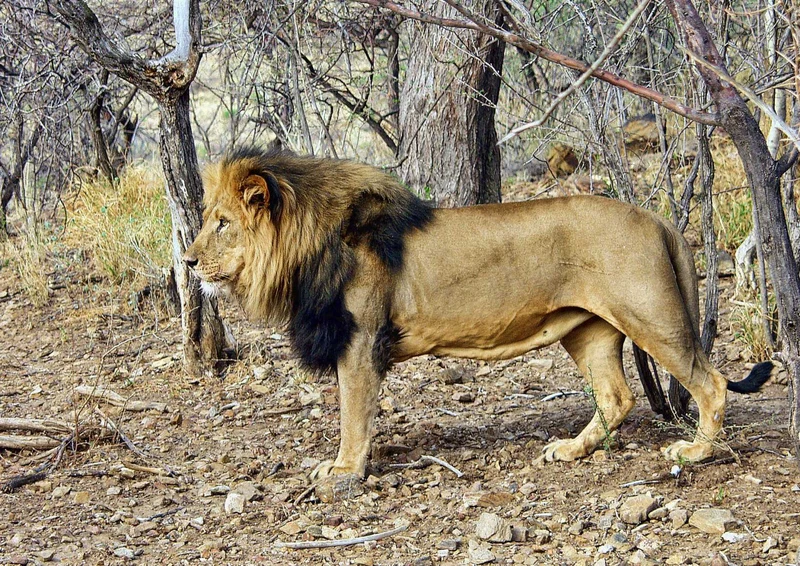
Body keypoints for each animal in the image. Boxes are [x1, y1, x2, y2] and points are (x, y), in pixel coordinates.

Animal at [184, 147, 772, 479]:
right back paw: (571, 451)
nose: (187, 262)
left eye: (221, 223)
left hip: (651, 316)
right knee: (616, 395)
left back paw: (695, 453)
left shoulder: (360, 340)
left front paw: (344, 470)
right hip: (589, 330)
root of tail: (656, 217)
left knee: (711, 382)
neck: (306, 245)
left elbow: (353, 415)